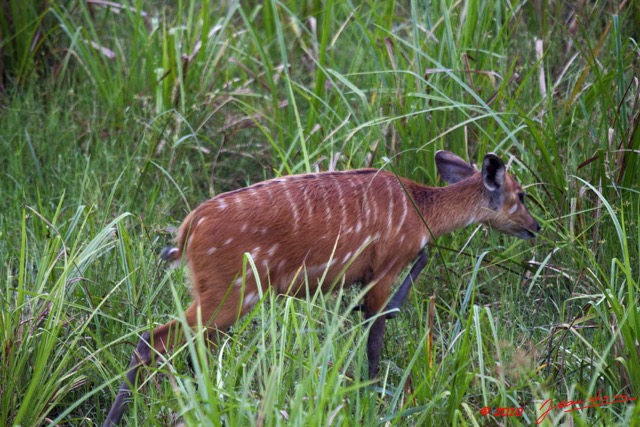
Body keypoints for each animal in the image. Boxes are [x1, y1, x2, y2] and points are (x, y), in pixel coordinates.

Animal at [106, 150, 540, 424]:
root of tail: (188, 229)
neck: (420, 213)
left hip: (211, 292)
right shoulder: (384, 269)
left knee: (190, 347)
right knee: (154, 339)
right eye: (520, 195)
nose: (535, 227)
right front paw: (374, 402)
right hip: (229, 292)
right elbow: (375, 336)